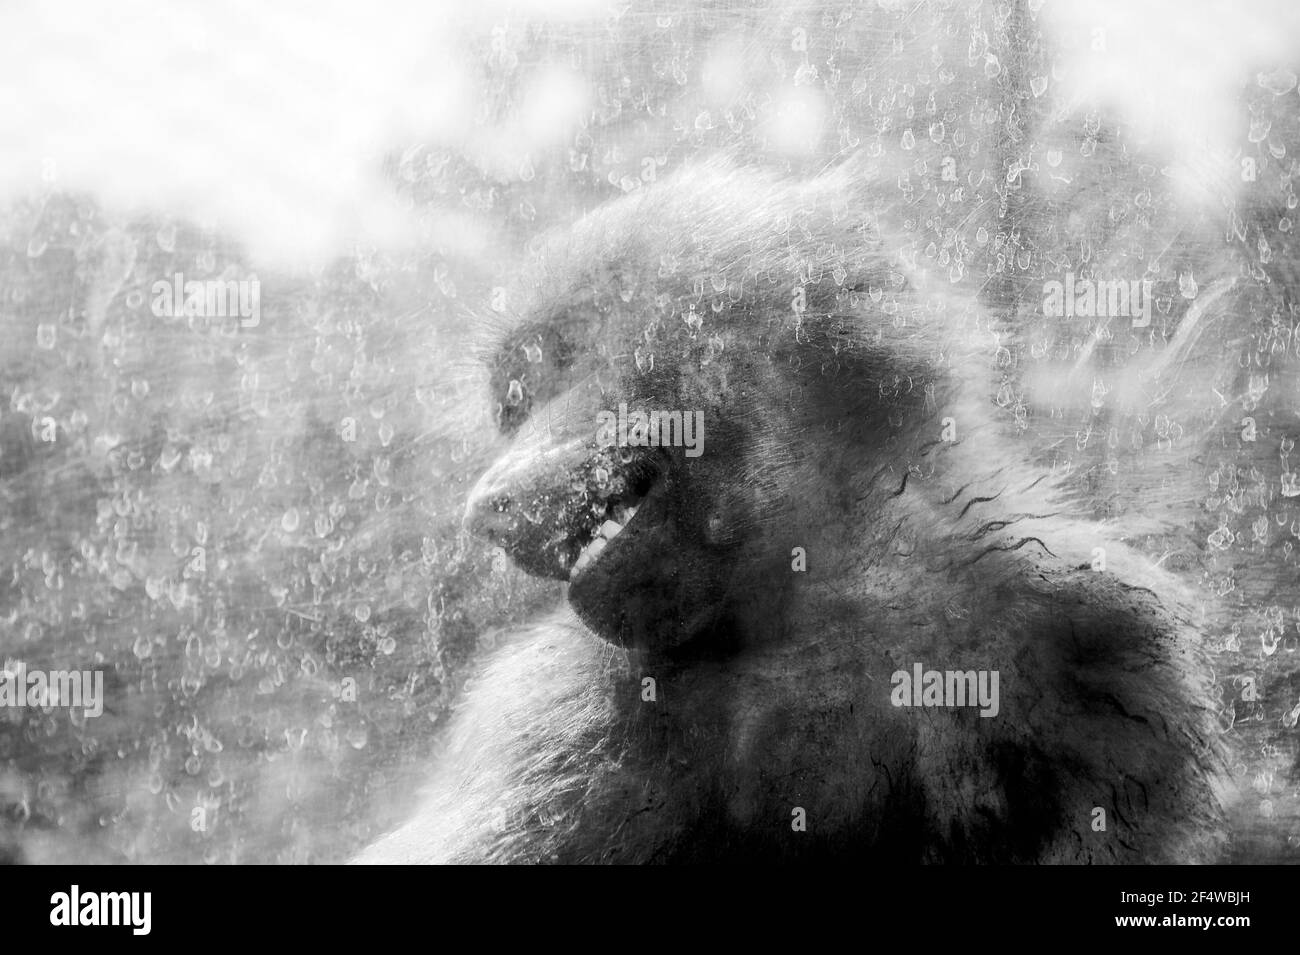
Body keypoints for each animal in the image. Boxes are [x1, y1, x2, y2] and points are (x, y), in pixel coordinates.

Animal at [354, 157, 1236, 864]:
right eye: (514, 401)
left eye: (560, 364)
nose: (489, 507)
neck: (829, 603)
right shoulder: (562, 718)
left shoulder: (1095, 638)